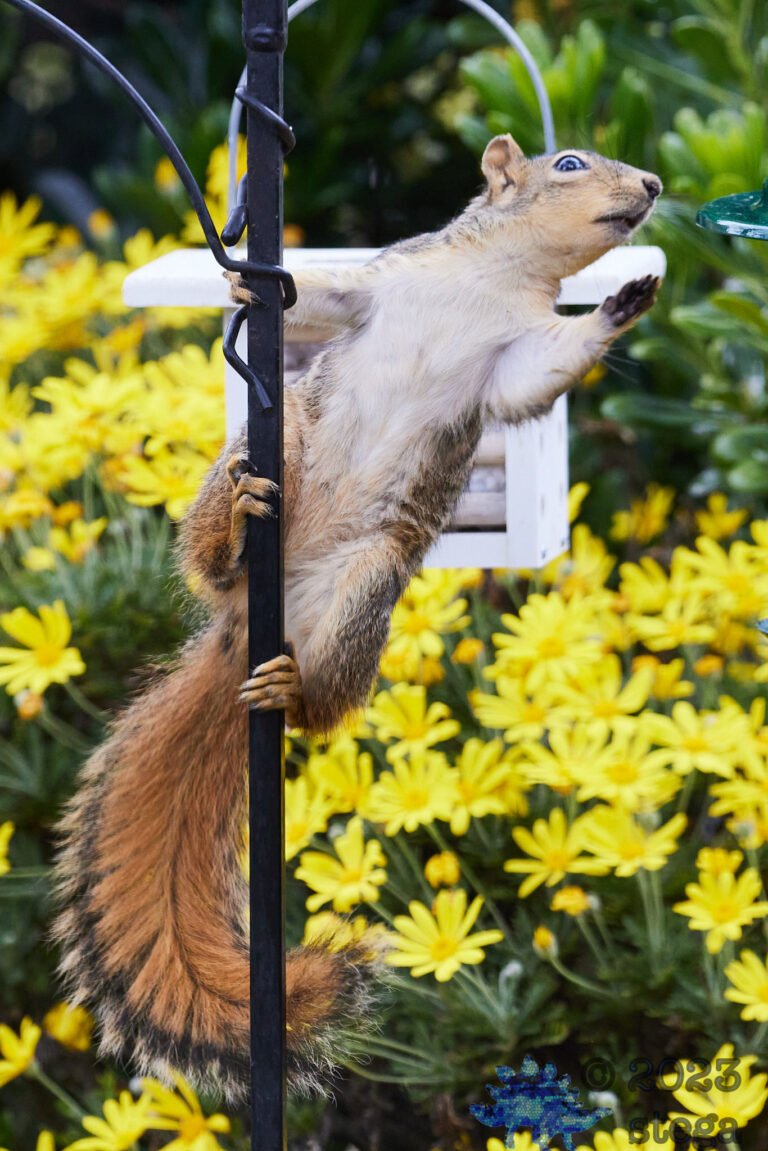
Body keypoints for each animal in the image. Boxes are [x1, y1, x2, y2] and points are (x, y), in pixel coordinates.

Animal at [53, 134, 662, 1101]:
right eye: (568, 162)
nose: (651, 186)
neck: (496, 274)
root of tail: (248, 635)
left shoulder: (517, 355)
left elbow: (540, 376)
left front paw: (622, 303)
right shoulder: (387, 280)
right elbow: (330, 294)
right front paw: (254, 289)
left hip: (369, 578)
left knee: (317, 710)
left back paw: (292, 691)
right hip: (275, 451)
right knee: (218, 544)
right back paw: (234, 525)